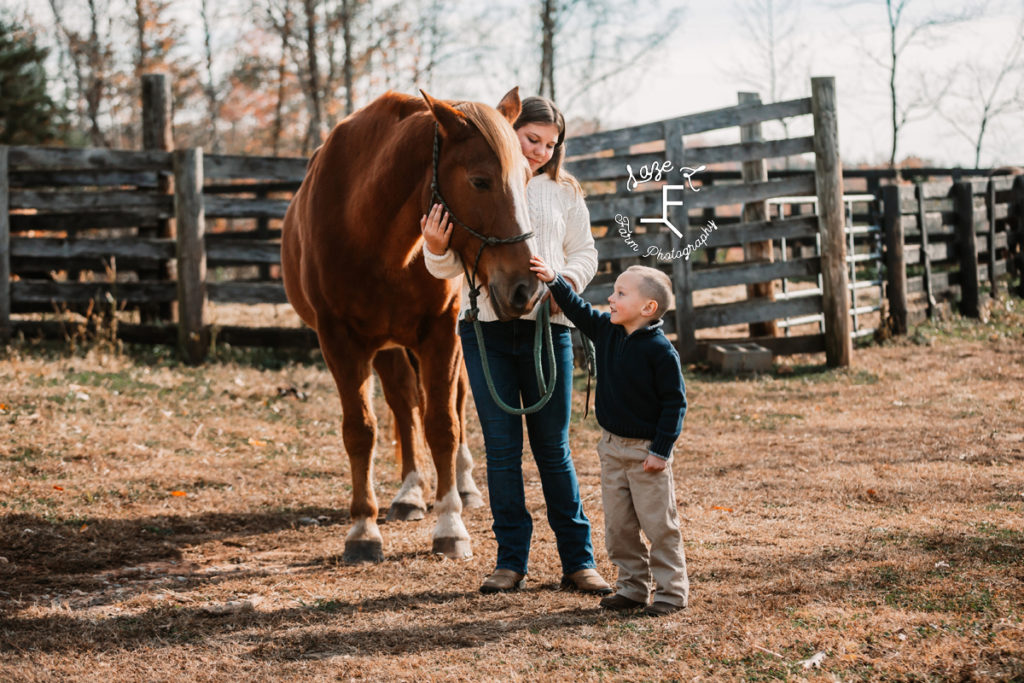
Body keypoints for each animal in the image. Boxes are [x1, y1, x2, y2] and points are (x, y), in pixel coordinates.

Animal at [278, 88, 536, 565]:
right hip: (388, 348)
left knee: (454, 404)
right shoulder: (341, 341)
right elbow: (361, 430)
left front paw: (451, 525)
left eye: (528, 178)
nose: (525, 288)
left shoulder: (442, 334)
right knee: (403, 403)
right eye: (479, 181)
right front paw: (363, 529)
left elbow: (443, 425)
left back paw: (463, 487)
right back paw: (411, 493)